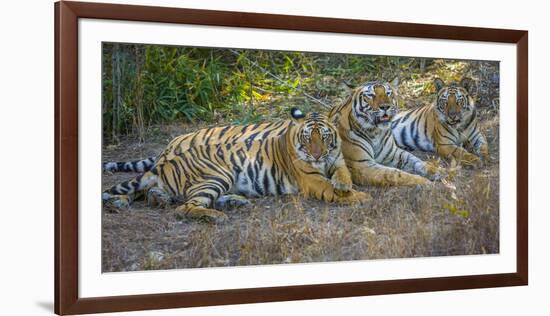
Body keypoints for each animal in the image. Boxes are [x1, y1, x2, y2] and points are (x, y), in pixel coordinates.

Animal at [103, 108, 370, 222]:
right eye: (307, 139)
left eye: (323, 137)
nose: (316, 155)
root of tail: (169, 154)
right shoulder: (312, 179)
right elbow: (331, 188)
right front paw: (360, 197)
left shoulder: (337, 160)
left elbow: (343, 174)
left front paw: (345, 185)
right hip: (216, 176)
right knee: (184, 207)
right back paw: (216, 216)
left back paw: (234, 202)